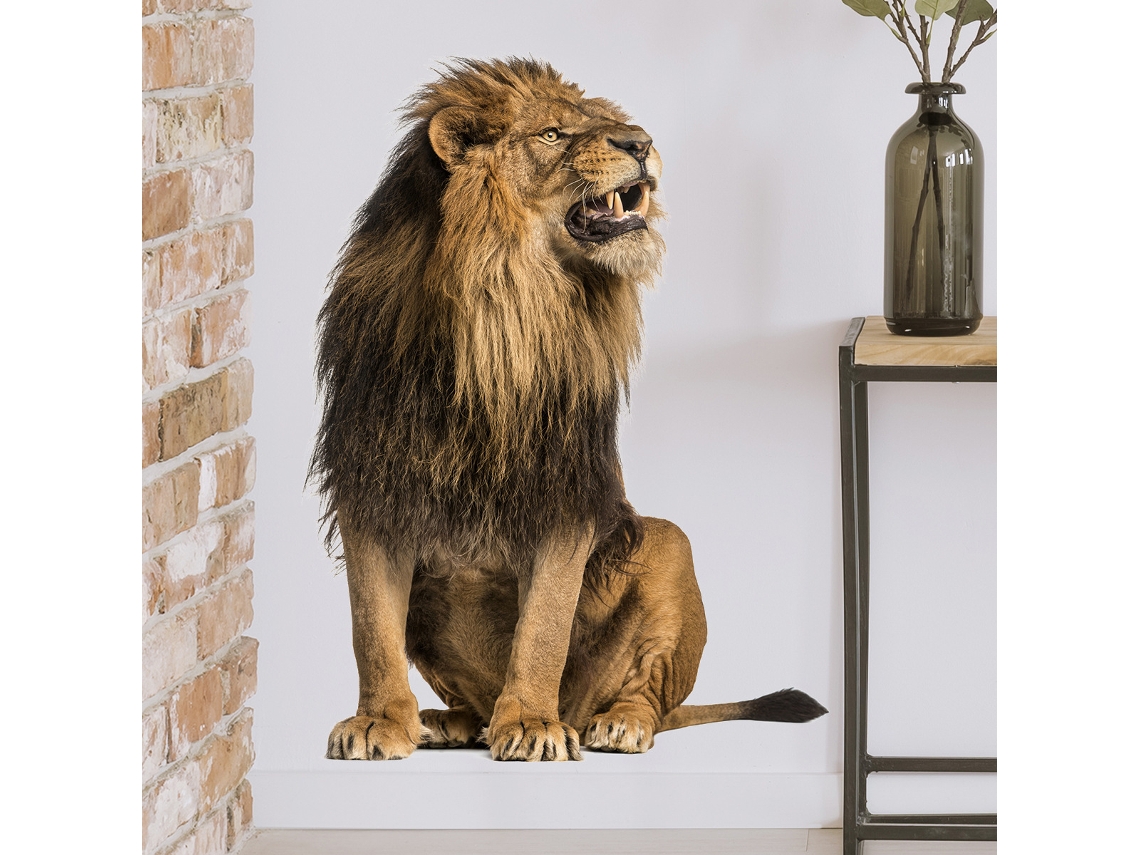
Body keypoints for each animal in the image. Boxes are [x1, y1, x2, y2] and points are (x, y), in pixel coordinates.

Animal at [311, 57, 826, 762]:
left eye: (608, 123)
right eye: (552, 134)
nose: (640, 142)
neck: (504, 308)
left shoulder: (566, 492)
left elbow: (545, 626)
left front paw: (530, 723)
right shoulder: (373, 484)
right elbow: (371, 629)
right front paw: (379, 721)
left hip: (670, 545)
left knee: (649, 697)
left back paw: (612, 723)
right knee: (466, 699)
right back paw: (448, 722)